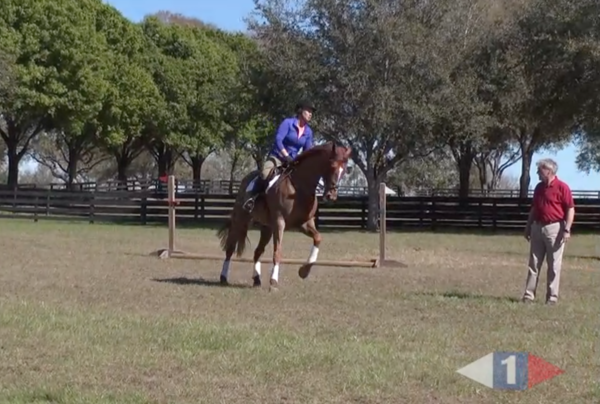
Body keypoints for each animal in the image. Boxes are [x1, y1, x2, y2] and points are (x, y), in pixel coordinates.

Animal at [217, 142, 352, 290]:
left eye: (344, 170)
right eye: (332, 166)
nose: (331, 196)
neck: (300, 187)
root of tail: (246, 179)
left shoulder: (304, 224)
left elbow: (318, 238)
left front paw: (304, 271)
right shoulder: (279, 222)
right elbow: (278, 252)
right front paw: (274, 281)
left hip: (267, 228)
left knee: (258, 252)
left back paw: (257, 280)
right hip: (241, 220)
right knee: (230, 248)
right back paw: (223, 277)